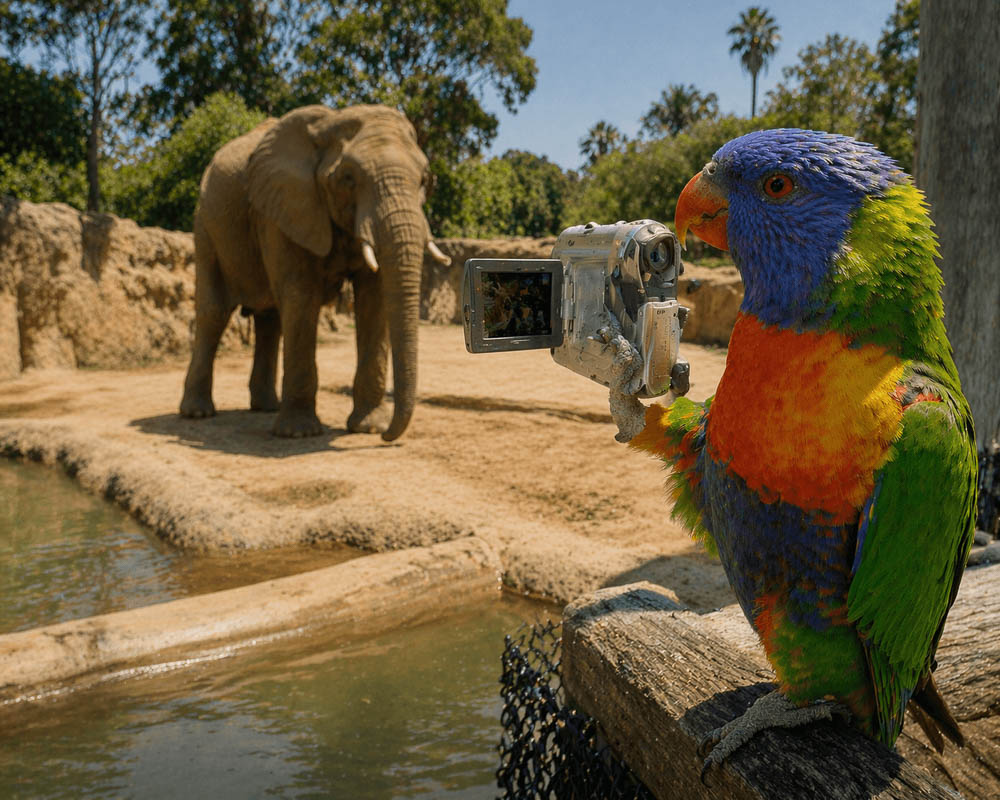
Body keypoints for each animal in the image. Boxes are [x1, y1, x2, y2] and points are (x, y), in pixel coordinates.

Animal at [179, 104, 451, 441]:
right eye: (348, 178)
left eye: (424, 180)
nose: (387, 437)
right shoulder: (282, 209)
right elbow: (301, 296)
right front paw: (299, 433)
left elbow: (373, 302)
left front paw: (368, 427)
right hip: (205, 225)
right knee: (214, 312)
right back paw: (197, 413)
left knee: (270, 319)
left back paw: (266, 407)